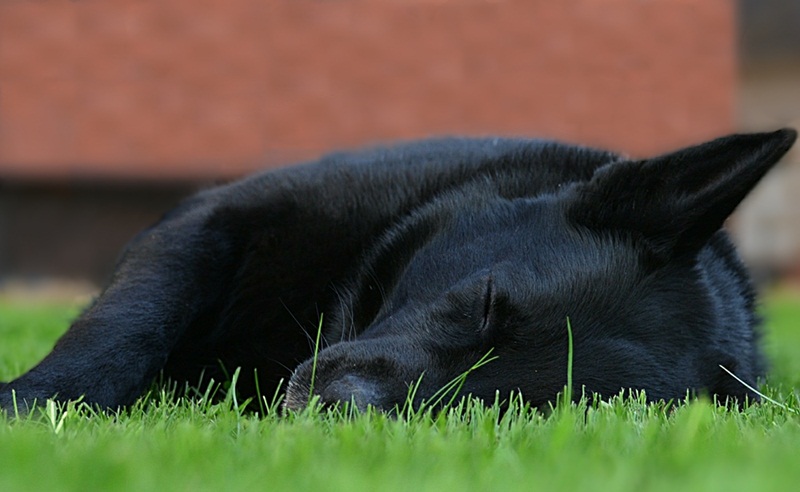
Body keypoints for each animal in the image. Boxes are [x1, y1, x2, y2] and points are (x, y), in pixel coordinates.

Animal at [0, 129, 796, 414]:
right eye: (487, 301)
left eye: (500, 410)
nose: (340, 406)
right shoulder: (212, 218)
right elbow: (128, 325)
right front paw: (35, 403)